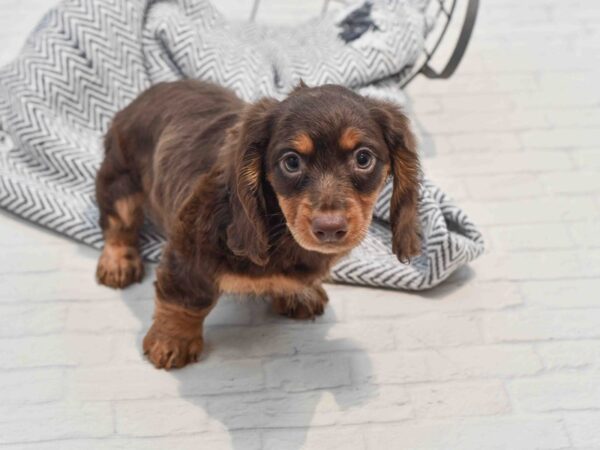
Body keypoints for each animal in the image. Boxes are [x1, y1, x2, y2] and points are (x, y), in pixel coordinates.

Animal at [95, 81, 422, 370]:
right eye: (291, 162)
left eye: (363, 158)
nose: (329, 228)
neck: (280, 229)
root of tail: (143, 96)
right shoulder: (189, 250)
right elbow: (185, 299)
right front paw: (172, 340)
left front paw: (298, 293)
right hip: (120, 183)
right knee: (119, 224)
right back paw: (118, 262)